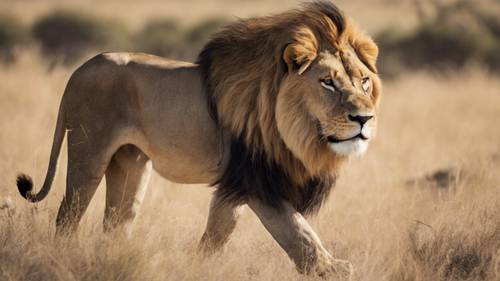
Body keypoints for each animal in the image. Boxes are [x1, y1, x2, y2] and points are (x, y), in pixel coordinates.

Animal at [17, 1, 380, 278]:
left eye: (364, 81)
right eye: (327, 82)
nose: (364, 119)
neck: (298, 132)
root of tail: (80, 68)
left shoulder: (235, 183)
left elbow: (219, 231)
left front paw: (197, 264)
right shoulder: (256, 180)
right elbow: (297, 230)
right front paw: (333, 269)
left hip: (131, 164)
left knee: (116, 223)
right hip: (89, 152)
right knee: (67, 215)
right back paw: (62, 258)